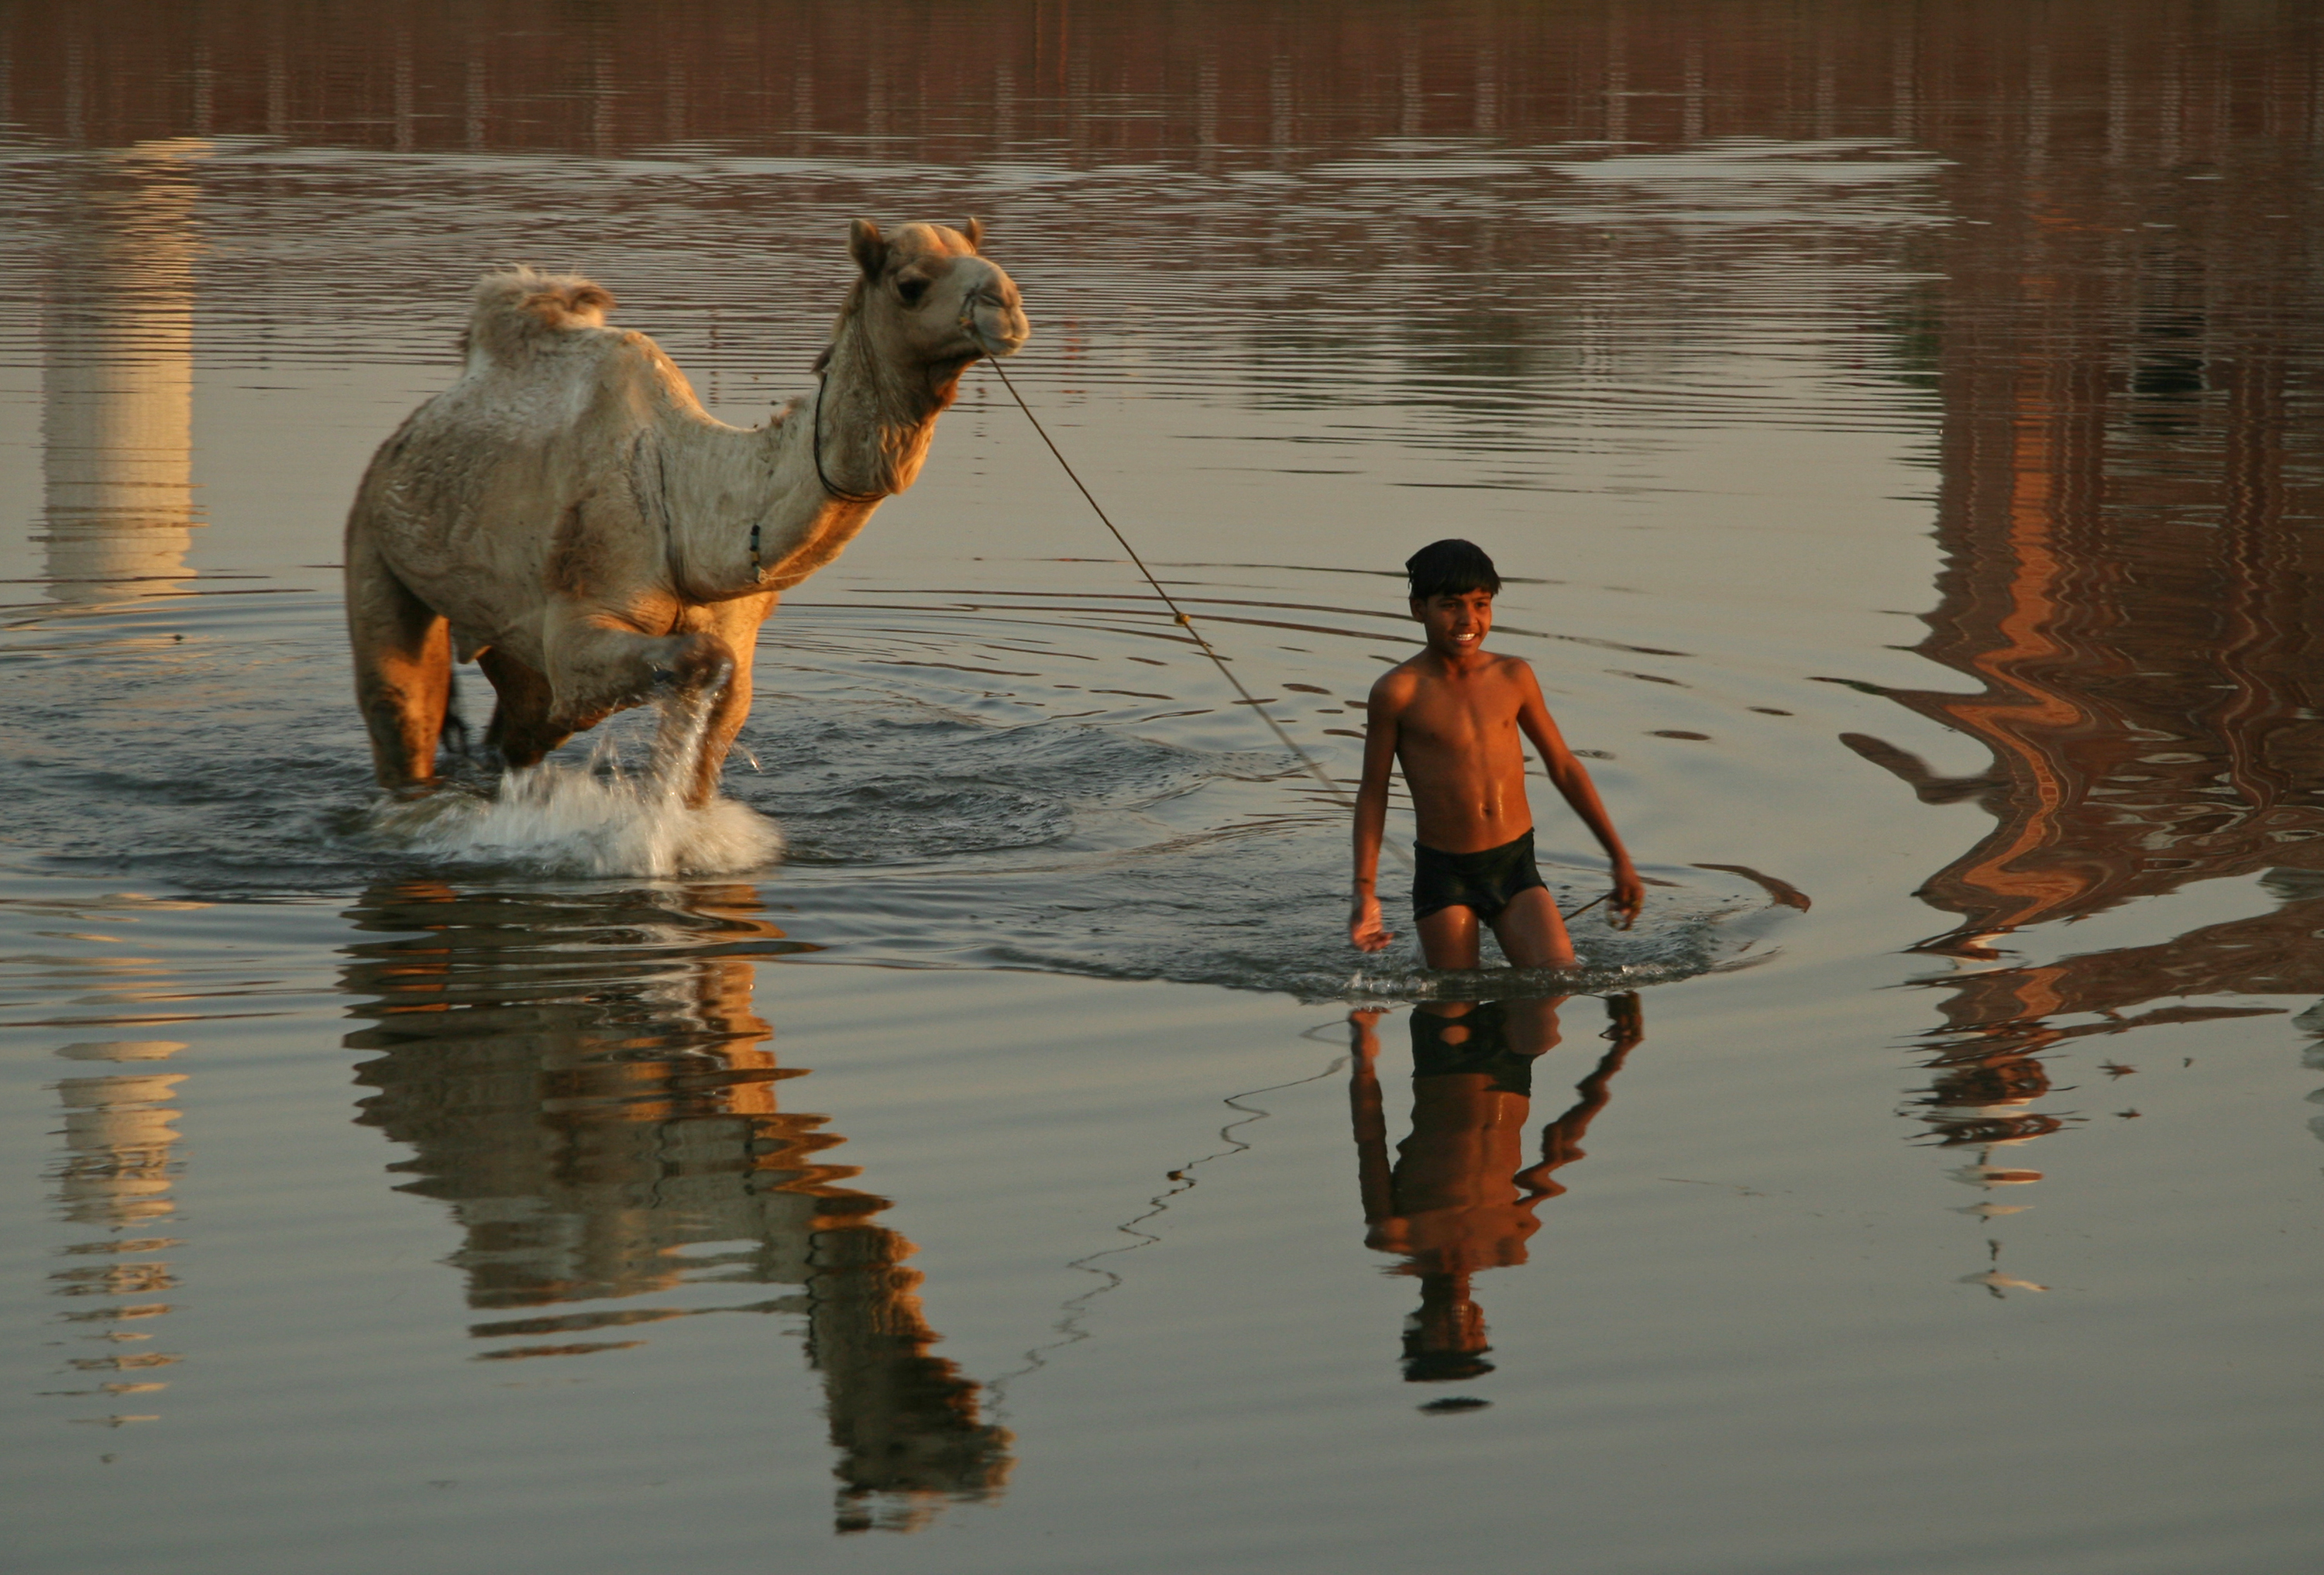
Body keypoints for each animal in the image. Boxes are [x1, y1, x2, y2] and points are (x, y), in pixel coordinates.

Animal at [344, 219, 1029, 806]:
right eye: (911, 284)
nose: (1008, 306)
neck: (691, 503)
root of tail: (400, 443)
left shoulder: (733, 656)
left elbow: (709, 718)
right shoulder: (580, 625)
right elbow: (693, 661)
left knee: (515, 731)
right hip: (372, 540)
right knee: (400, 711)